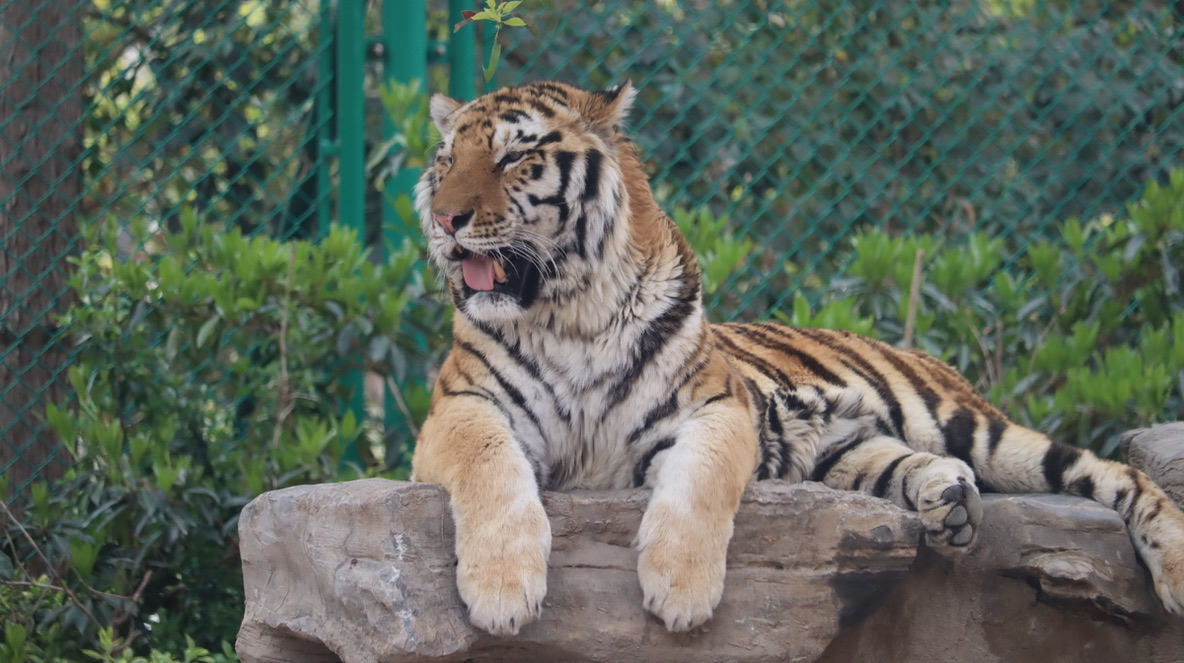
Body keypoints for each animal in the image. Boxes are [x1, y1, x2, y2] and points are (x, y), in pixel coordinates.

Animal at [411, 80, 1184, 636]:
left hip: (967, 423)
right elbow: (490, 465)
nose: (445, 219)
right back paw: (951, 505)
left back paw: (1172, 567)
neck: (569, 313)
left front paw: (681, 591)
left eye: (515, 156)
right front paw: (503, 592)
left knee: (1116, 474)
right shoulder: (461, 409)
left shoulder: (716, 408)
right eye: (446, 160)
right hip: (842, 453)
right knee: (899, 465)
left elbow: (699, 483)